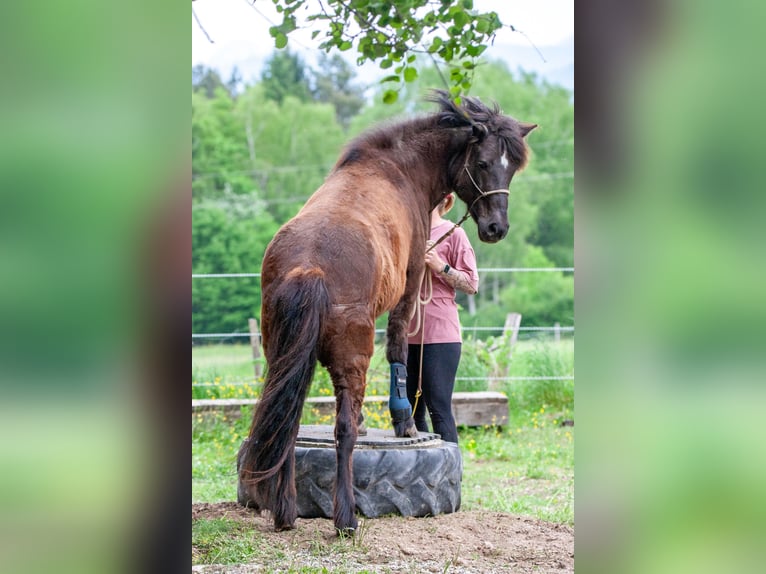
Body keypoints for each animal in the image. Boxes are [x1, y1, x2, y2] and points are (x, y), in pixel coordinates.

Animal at [238, 89, 536, 534]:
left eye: (512, 168)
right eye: (483, 163)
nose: (496, 229)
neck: (398, 168)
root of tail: (308, 266)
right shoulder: (411, 281)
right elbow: (397, 348)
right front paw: (404, 424)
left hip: (284, 359)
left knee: (286, 425)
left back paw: (286, 513)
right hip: (348, 356)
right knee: (341, 431)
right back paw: (345, 518)